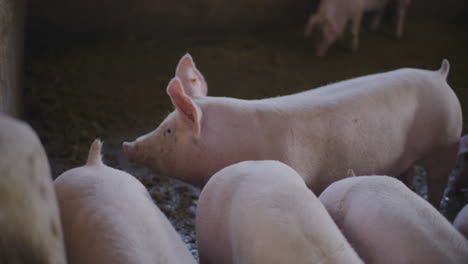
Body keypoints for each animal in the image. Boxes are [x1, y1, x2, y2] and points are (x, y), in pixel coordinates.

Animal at [122, 54, 462, 206]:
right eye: (162, 124)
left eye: (168, 131)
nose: (127, 146)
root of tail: (440, 75)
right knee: (408, 172)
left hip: (447, 143)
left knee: (438, 180)